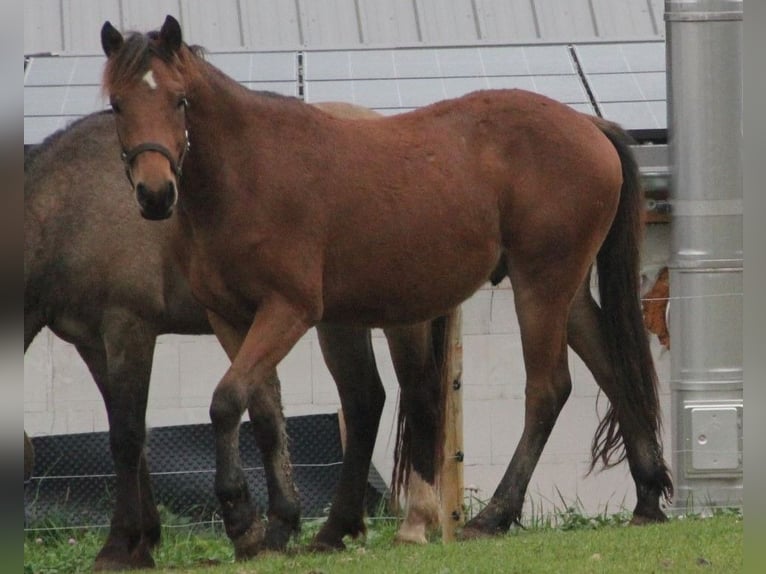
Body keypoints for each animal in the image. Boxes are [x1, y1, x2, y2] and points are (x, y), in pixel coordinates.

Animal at [24, 108, 456, 572]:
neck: (70, 206)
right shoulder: (92, 344)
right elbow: (137, 436)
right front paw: (146, 541)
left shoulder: (129, 326)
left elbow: (126, 436)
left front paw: (119, 545)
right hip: (341, 321)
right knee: (364, 402)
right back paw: (335, 530)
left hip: (402, 318)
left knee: (419, 396)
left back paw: (414, 523)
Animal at [99, 14, 676, 568]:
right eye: (117, 104)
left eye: (179, 99)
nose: (155, 193)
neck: (248, 172)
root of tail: (588, 125)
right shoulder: (231, 319)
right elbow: (262, 412)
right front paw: (281, 527)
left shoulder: (288, 311)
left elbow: (225, 401)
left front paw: (242, 521)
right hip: (565, 292)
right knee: (612, 370)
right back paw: (647, 498)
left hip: (541, 287)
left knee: (548, 389)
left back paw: (493, 515)